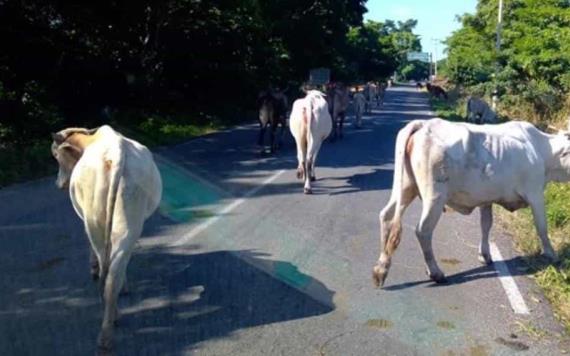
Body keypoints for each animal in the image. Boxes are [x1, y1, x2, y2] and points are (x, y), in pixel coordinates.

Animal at [51, 126, 162, 354]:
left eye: (56, 156)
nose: (59, 184)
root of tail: (116, 151)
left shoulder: (84, 219)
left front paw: (92, 269)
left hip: (95, 220)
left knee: (106, 265)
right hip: (129, 222)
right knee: (114, 268)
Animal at [372, 118, 564, 288]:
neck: (541, 149)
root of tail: (422, 124)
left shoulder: (487, 198)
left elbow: (486, 224)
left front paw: (485, 255)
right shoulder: (535, 193)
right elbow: (542, 227)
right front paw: (551, 254)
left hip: (405, 187)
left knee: (387, 216)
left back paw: (381, 268)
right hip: (434, 197)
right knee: (423, 230)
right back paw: (435, 272)